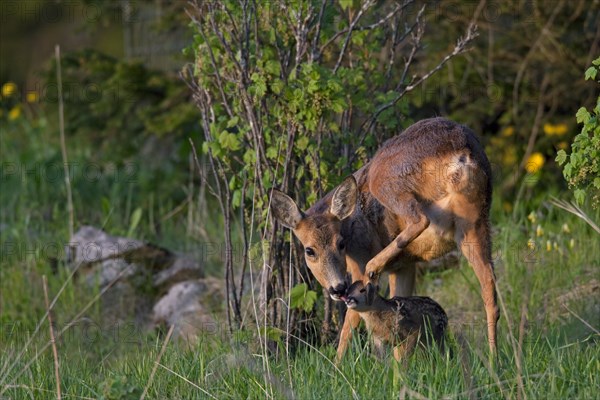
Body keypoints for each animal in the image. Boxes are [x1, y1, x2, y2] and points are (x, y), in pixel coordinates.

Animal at [270, 116, 496, 360]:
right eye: (309, 250)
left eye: (341, 243)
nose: (337, 288)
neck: (350, 227)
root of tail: (461, 152)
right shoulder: (405, 266)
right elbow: (399, 301)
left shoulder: (360, 262)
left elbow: (349, 326)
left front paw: (336, 365)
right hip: (475, 223)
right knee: (490, 288)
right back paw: (494, 358)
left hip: (386, 179)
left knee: (419, 218)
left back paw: (375, 265)